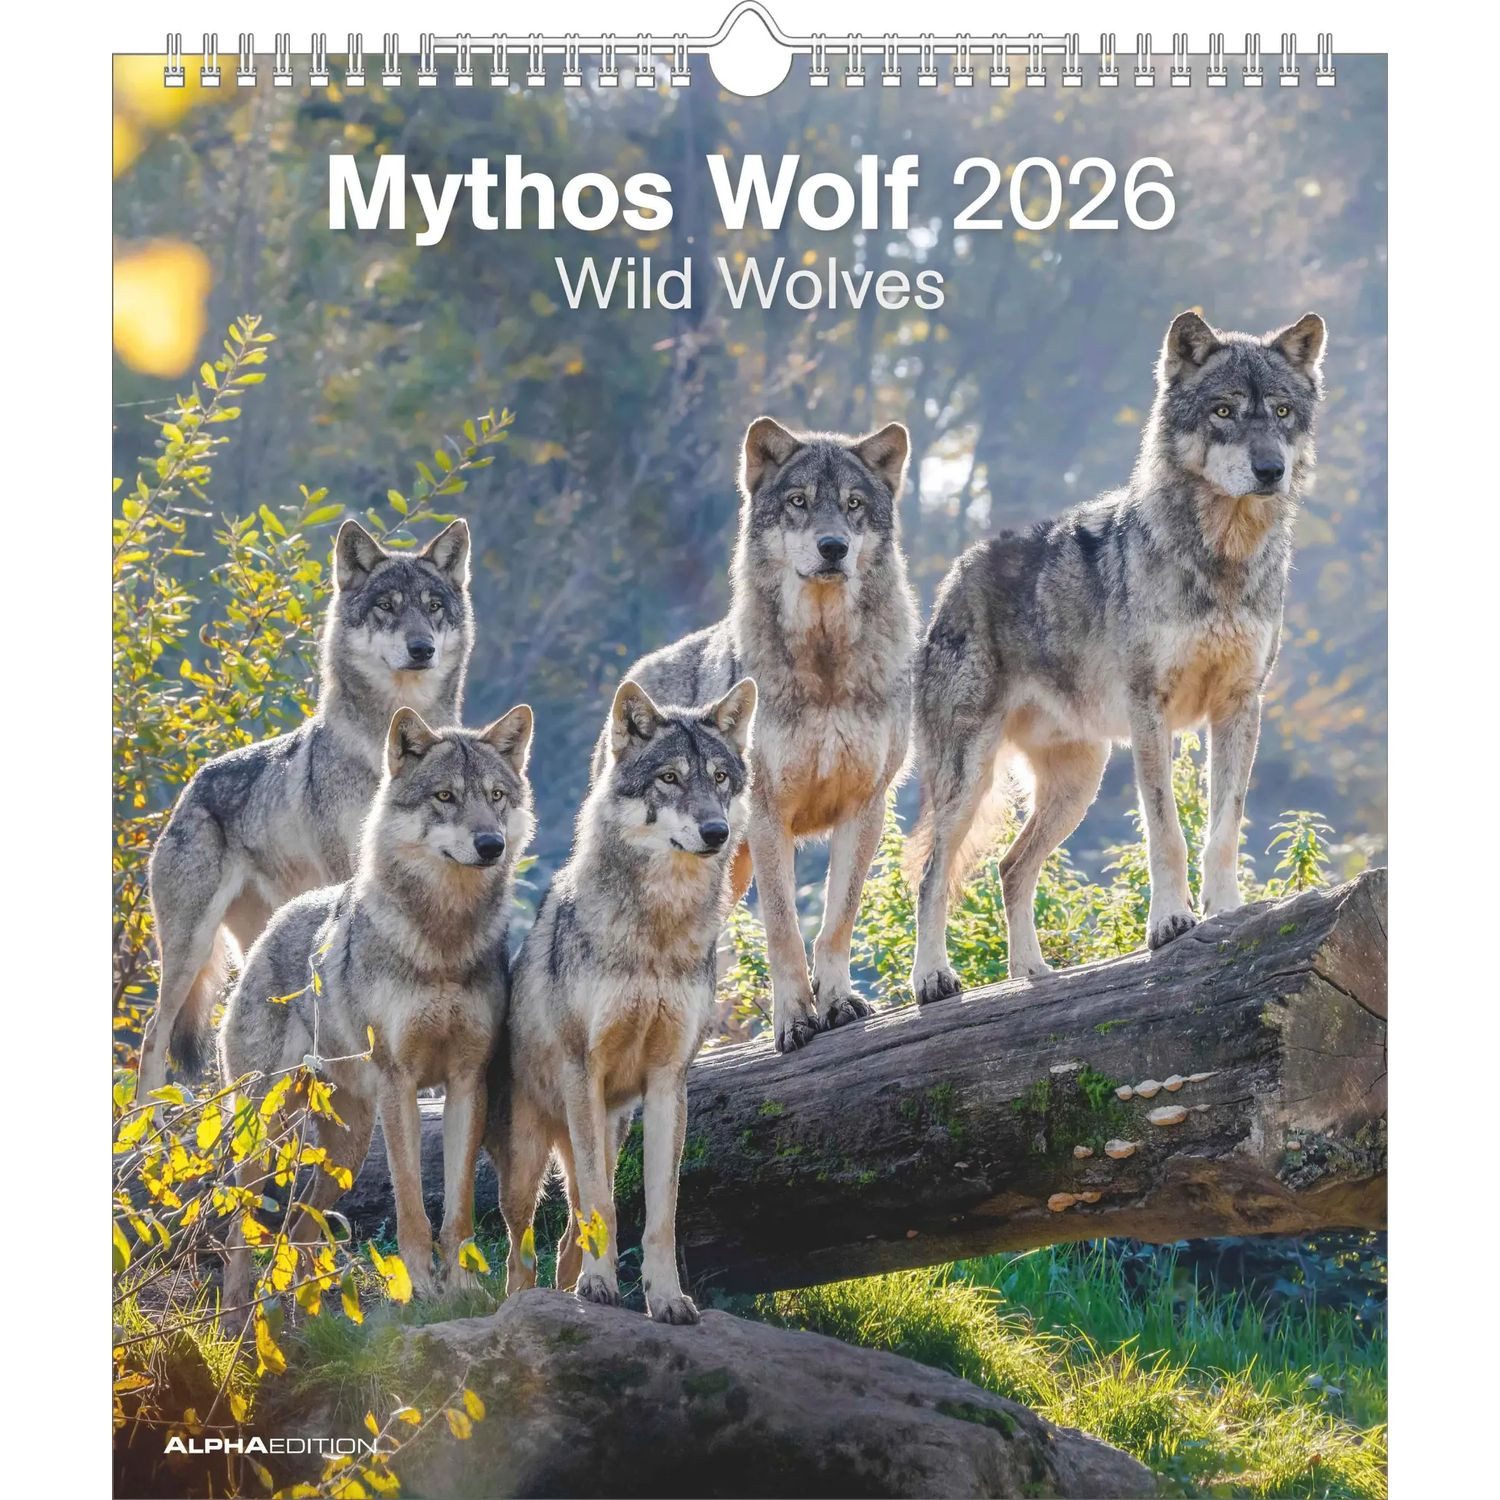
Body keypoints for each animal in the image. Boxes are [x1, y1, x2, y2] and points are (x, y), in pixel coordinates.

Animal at [139, 518, 475, 1099]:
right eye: (386, 606)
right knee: (152, 1035)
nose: (421, 648)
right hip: (189, 950)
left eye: (434, 606)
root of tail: (191, 786)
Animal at [219, 705, 535, 1308]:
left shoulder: (467, 1080)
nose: (491, 844)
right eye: (444, 796)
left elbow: (458, 1209)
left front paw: (461, 1289)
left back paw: (311, 1310)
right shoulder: (400, 1081)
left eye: (497, 796)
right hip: (267, 1131)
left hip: (350, 1144)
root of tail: (274, 923)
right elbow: (410, 1204)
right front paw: (421, 1291)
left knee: (303, 1225)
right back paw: (235, 1314)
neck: (442, 944)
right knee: (241, 1226)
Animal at [491, 676, 756, 1324]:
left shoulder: (668, 1080)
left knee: (569, 1231)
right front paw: (601, 1288)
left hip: (608, 1132)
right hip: (529, 1163)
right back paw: (527, 1300)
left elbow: (659, 1213)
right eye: (670, 778)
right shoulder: (583, 1067)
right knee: (523, 1246)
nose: (716, 832)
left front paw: (666, 1299)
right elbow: (604, 1209)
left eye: (720, 778)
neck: (656, 935)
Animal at [596, 419, 918, 1052]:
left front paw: (836, 1003)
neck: (825, 668)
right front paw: (794, 1020)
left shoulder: (864, 808)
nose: (833, 547)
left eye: (853, 505)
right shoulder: (771, 817)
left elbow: (836, 922)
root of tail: (635, 676)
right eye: (798, 502)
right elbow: (783, 932)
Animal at [908, 310, 1327, 999]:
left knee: (1010, 867)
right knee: (931, 874)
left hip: (1079, 782)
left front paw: (1227, 911)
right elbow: (1167, 832)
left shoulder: (1240, 706)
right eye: (1223, 411)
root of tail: (954, 575)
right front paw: (1170, 923)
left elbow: (1223, 828)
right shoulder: (1149, 709)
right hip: (968, 779)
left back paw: (1032, 973)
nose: (1271, 471)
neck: (1223, 559)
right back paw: (933, 979)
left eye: (1283, 412)